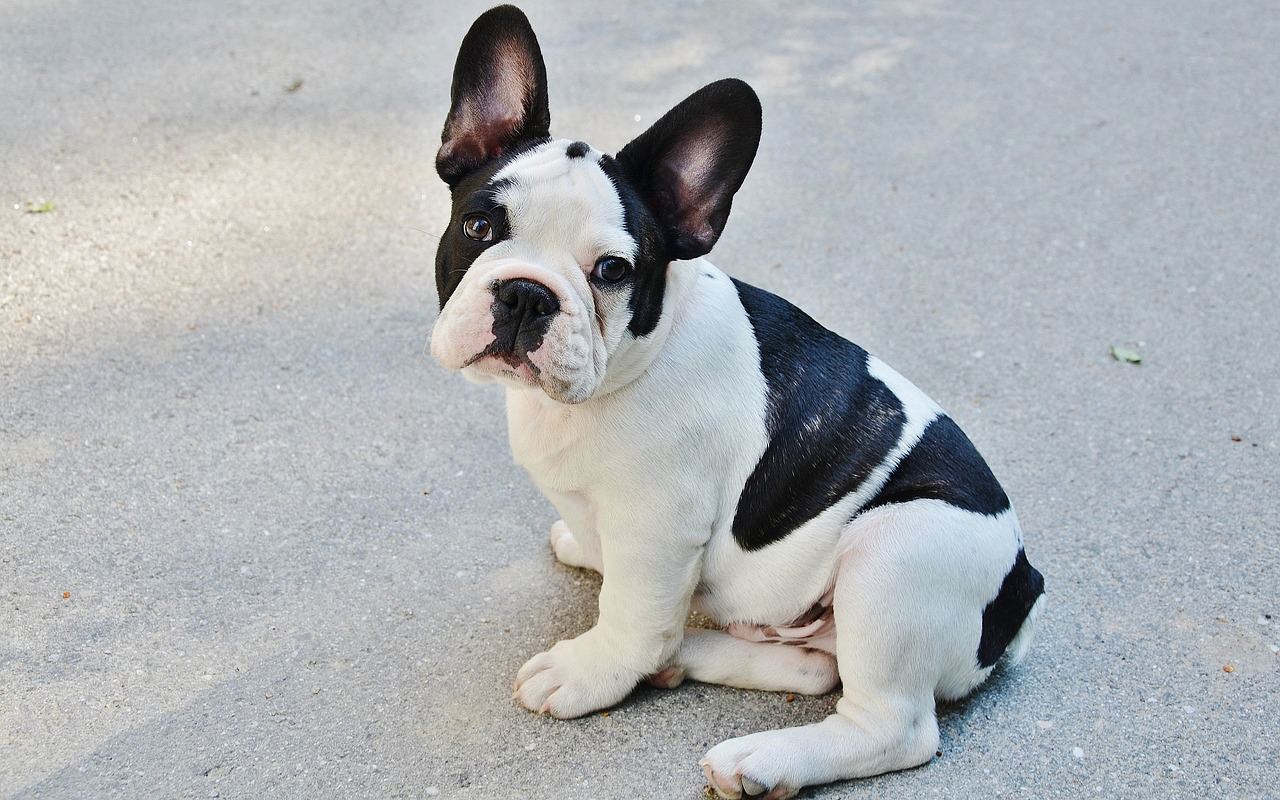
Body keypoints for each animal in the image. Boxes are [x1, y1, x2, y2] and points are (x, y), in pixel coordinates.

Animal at [430, 4, 1039, 793]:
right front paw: (587, 553)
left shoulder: (658, 526)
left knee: (892, 726)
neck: (626, 365)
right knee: (813, 670)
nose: (528, 294)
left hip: (898, 551)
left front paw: (589, 670)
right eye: (479, 227)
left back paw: (761, 757)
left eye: (612, 271)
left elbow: (630, 611)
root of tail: (1023, 587)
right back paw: (686, 658)